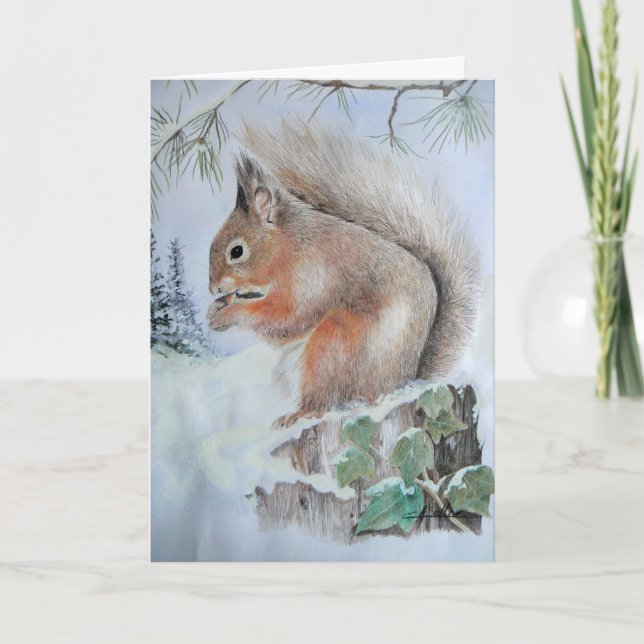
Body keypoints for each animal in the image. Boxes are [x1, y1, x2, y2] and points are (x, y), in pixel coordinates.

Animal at [207, 121, 479, 428]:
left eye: (237, 251)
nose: (213, 288)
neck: (289, 245)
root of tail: (403, 381)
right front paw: (216, 309)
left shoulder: (313, 274)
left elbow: (288, 317)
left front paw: (230, 314)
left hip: (334, 346)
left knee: (323, 399)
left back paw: (299, 414)